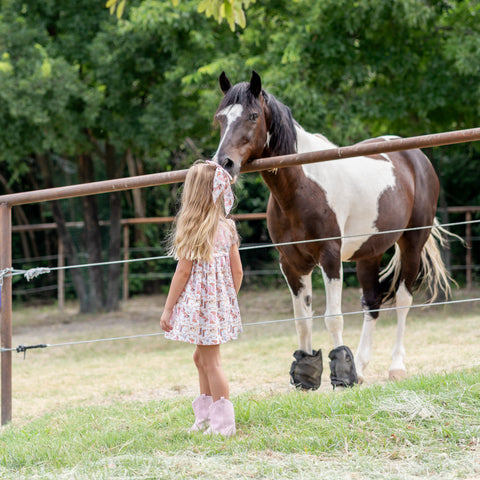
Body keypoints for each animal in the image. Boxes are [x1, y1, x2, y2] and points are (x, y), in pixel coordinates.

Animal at [212, 71, 452, 388]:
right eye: (220, 118)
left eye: (252, 116)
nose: (224, 162)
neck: (302, 186)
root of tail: (416, 157)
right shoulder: (291, 263)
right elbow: (303, 320)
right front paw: (306, 375)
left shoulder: (330, 257)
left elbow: (332, 317)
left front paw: (341, 375)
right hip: (369, 253)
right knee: (372, 302)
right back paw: (360, 367)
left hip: (411, 243)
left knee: (402, 300)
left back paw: (396, 367)